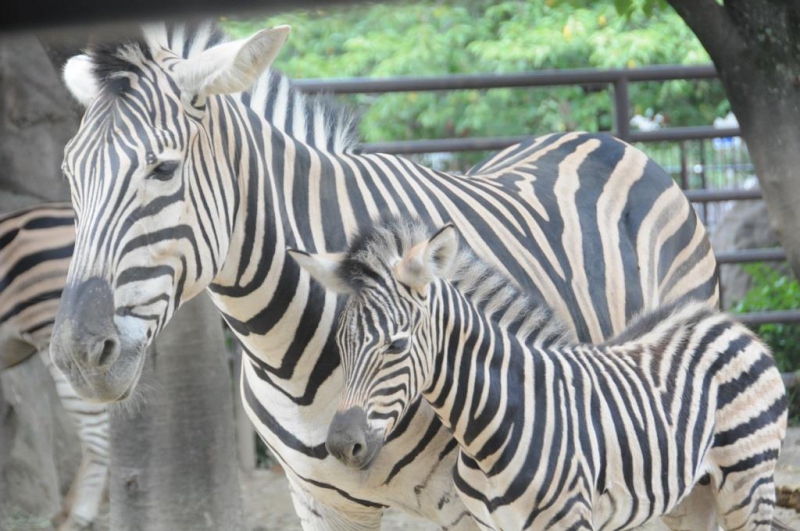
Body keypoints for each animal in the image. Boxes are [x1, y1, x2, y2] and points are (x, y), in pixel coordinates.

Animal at [51, 22, 720, 531]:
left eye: (162, 169)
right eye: (68, 173)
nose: (78, 355)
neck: (289, 354)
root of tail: (601, 138)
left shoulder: (474, 504)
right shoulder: (320, 504)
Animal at [290, 219, 788, 531]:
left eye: (396, 345)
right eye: (340, 347)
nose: (341, 446)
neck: (488, 430)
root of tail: (724, 321)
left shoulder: (569, 519)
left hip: (748, 480)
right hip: (692, 492)